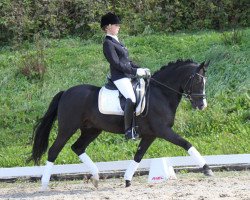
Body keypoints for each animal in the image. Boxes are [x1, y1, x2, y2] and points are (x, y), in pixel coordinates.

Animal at [28, 59, 213, 189]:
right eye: (198, 81)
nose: (202, 105)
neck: (161, 94)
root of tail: (66, 92)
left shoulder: (150, 135)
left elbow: (138, 156)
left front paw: (127, 180)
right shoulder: (163, 130)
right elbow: (186, 144)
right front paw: (207, 169)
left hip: (92, 130)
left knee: (77, 147)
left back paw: (96, 177)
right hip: (67, 128)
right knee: (54, 150)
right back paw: (44, 184)